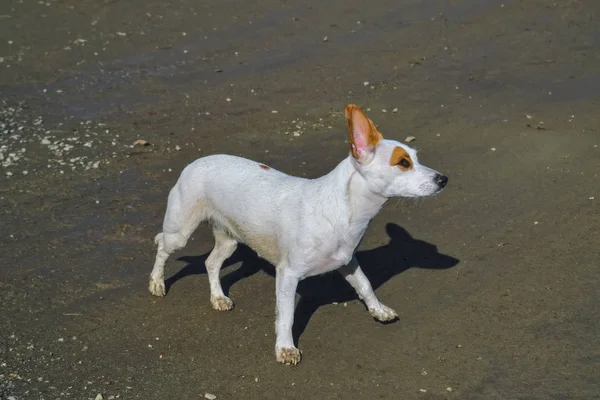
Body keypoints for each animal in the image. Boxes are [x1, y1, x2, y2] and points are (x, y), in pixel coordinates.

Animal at [149, 104, 448, 366]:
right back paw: (157, 283)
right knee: (163, 244)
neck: (345, 210)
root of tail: (197, 161)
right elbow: (287, 316)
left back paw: (218, 298)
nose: (444, 179)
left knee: (211, 262)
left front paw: (378, 310)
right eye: (403, 163)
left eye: (415, 158)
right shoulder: (288, 275)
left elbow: (365, 285)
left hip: (230, 239)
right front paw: (285, 348)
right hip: (180, 231)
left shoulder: (347, 262)